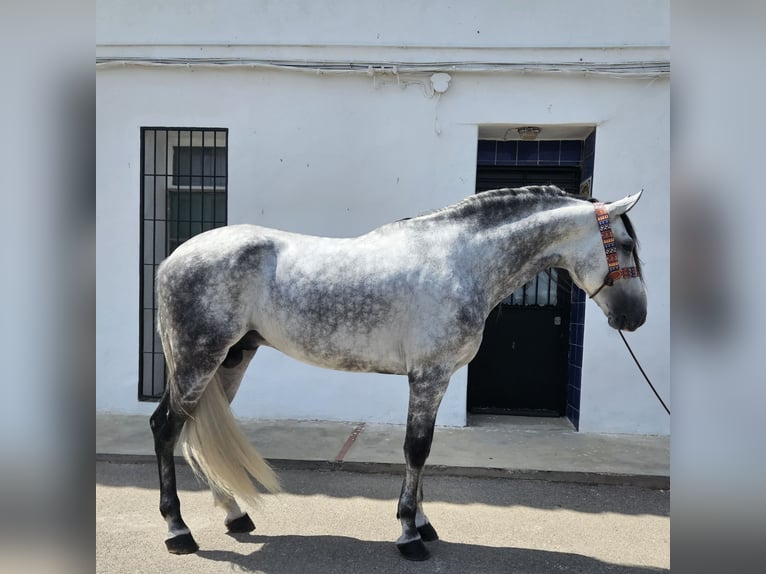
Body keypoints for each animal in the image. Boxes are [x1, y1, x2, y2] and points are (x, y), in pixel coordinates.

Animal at [150, 186, 648, 564]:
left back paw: (234, 515)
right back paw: (179, 531)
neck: (460, 262)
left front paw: (423, 525)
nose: (636, 316)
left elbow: (424, 452)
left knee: (193, 431)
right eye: (626, 246)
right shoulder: (428, 376)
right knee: (166, 428)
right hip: (199, 360)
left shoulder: (436, 378)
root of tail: (173, 258)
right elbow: (416, 449)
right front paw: (409, 535)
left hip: (232, 360)